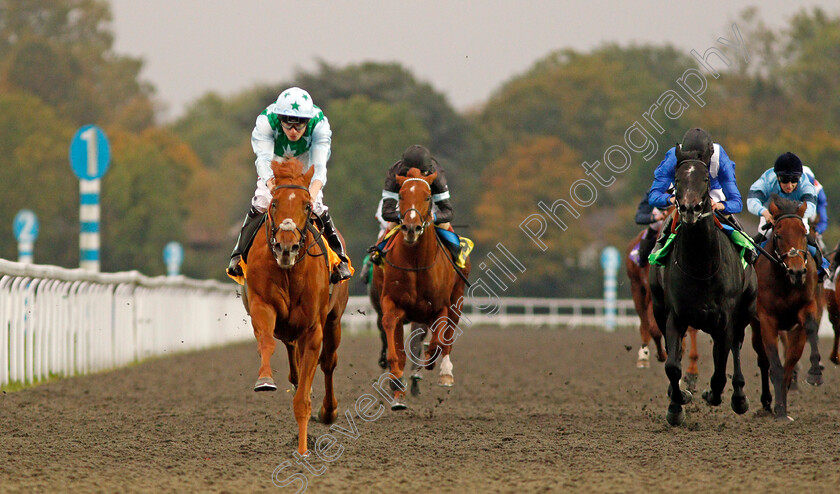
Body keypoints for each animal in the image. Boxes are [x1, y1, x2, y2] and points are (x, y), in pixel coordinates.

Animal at [241, 156, 350, 454]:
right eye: (274, 204)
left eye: (307, 205)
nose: (286, 247)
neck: (289, 271)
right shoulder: (262, 305)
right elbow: (266, 342)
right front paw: (265, 380)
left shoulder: (313, 329)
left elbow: (302, 399)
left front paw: (302, 451)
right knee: (293, 360)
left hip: (334, 320)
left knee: (329, 362)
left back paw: (328, 410)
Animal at [382, 168, 472, 408]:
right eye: (401, 195)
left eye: (428, 196)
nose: (411, 228)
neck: (416, 262)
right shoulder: (392, 302)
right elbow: (391, 331)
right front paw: (396, 381)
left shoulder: (441, 306)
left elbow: (439, 341)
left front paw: (431, 361)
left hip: (458, 299)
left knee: (447, 335)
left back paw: (445, 373)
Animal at [648, 146, 756, 424]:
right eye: (677, 180)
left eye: (706, 179)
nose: (689, 209)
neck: (702, 268)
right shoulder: (674, 315)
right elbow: (672, 365)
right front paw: (677, 404)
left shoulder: (725, 319)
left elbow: (719, 370)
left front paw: (713, 394)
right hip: (659, 307)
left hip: (746, 309)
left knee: (737, 346)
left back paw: (739, 396)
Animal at [752, 195, 824, 422]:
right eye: (779, 234)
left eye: (803, 233)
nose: (797, 271)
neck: (785, 282)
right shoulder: (767, 319)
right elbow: (774, 364)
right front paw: (779, 410)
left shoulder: (806, 307)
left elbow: (792, 359)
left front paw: (815, 373)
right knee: (762, 359)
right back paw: (766, 405)